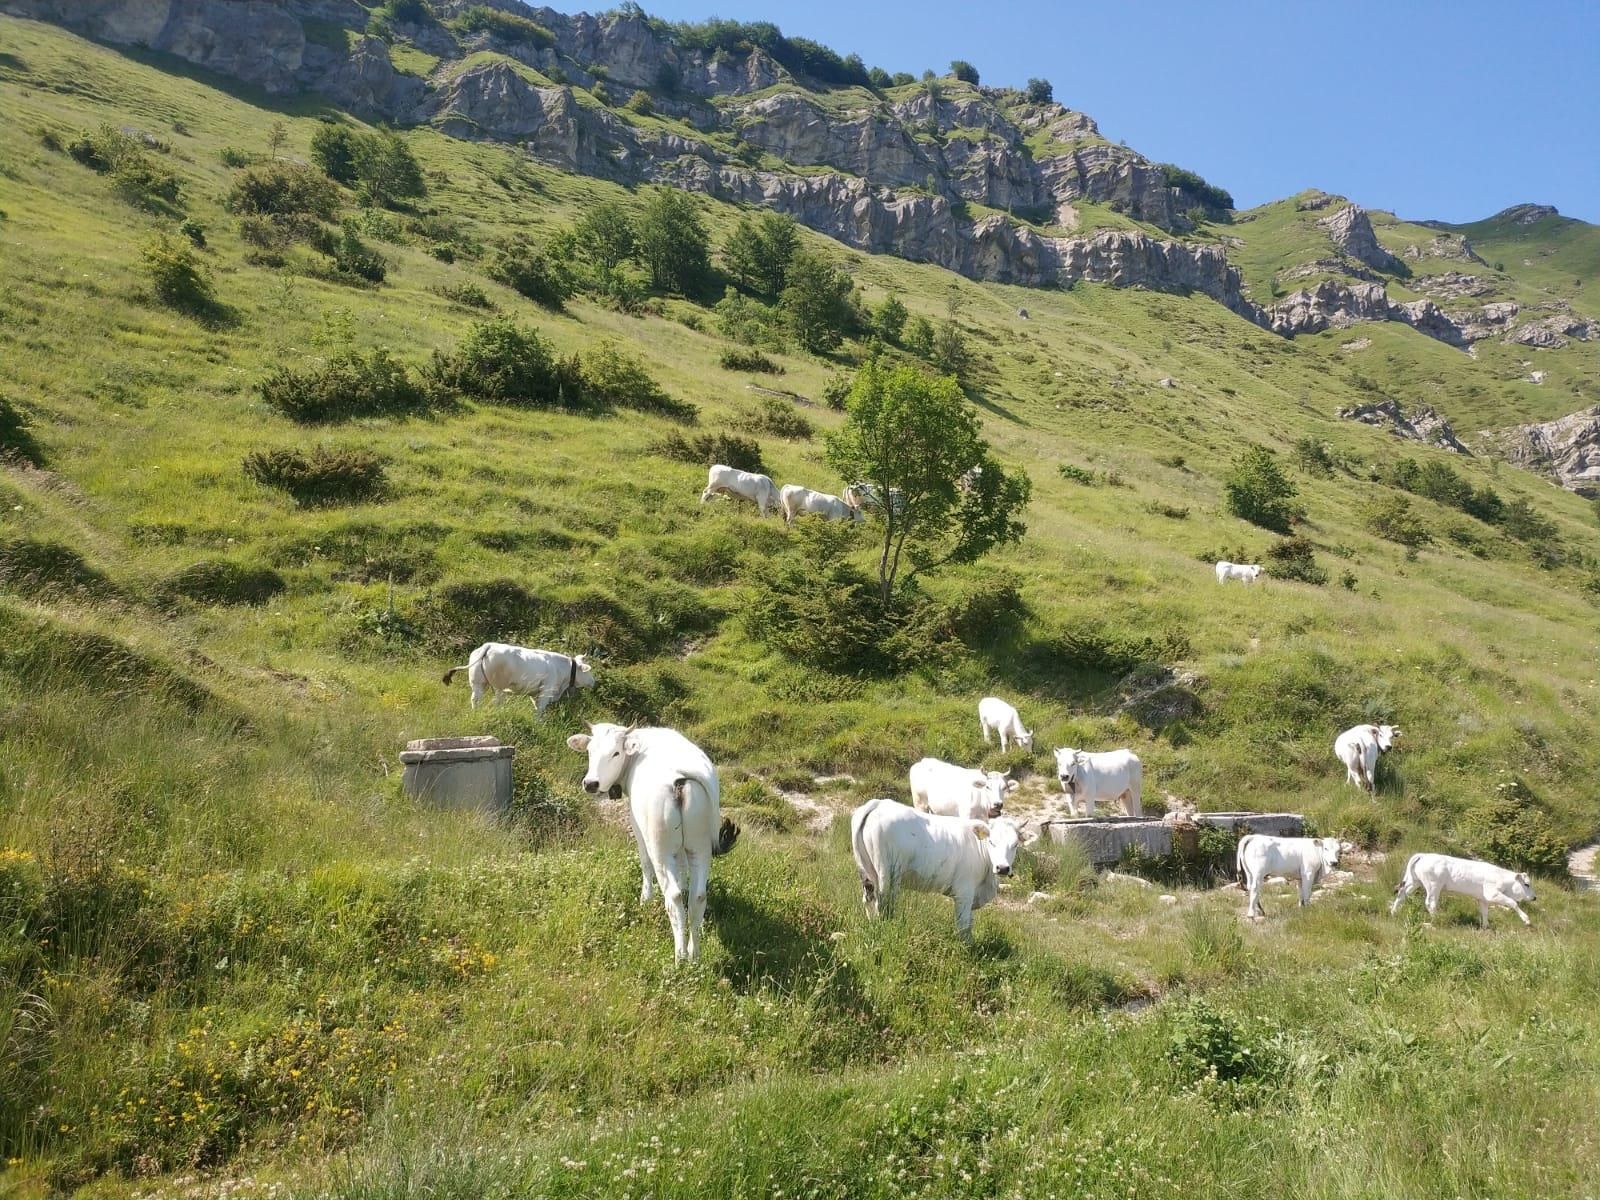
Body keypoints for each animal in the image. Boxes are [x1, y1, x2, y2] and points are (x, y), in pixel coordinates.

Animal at [441, 649, 598, 713]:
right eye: (588, 670)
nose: (594, 681)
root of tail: (489, 645)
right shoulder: (546, 691)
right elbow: (540, 709)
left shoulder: (536, 693)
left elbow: (536, 707)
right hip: (499, 686)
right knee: (496, 700)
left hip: (478, 683)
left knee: (475, 699)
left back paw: (475, 712)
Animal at [566, 723, 739, 966]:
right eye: (590, 751)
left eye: (616, 753)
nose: (591, 784)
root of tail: (682, 777)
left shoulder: (638, 826)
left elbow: (644, 862)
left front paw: (645, 899)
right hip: (700, 847)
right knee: (698, 897)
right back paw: (694, 955)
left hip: (660, 847)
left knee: (673, 896)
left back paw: (680, 956)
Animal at [851, 803, 1024, 947]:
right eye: (991, 842)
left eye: (1015, 845)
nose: (1002, 868)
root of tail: (879, 803)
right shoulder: (964, 892)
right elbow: (964, 924)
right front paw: (966, 950)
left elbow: (969, 923)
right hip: (887, 874)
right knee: (883, 905)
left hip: (866, 871)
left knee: (868, 899)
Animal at [1388, 851, 1536, 934]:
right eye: (1526, 884)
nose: (1534, 897)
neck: (1501, 878)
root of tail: (1424, 855)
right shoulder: (1492, 894)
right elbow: (1512, 902)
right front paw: (1527, 920)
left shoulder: (1483, 899)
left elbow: (1485, 912)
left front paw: (1486, 927)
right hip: (1433, 885)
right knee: (1430, 903)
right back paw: (1437, 921)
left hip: (1414, 881)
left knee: (1402, 894)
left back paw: (1394, 913)